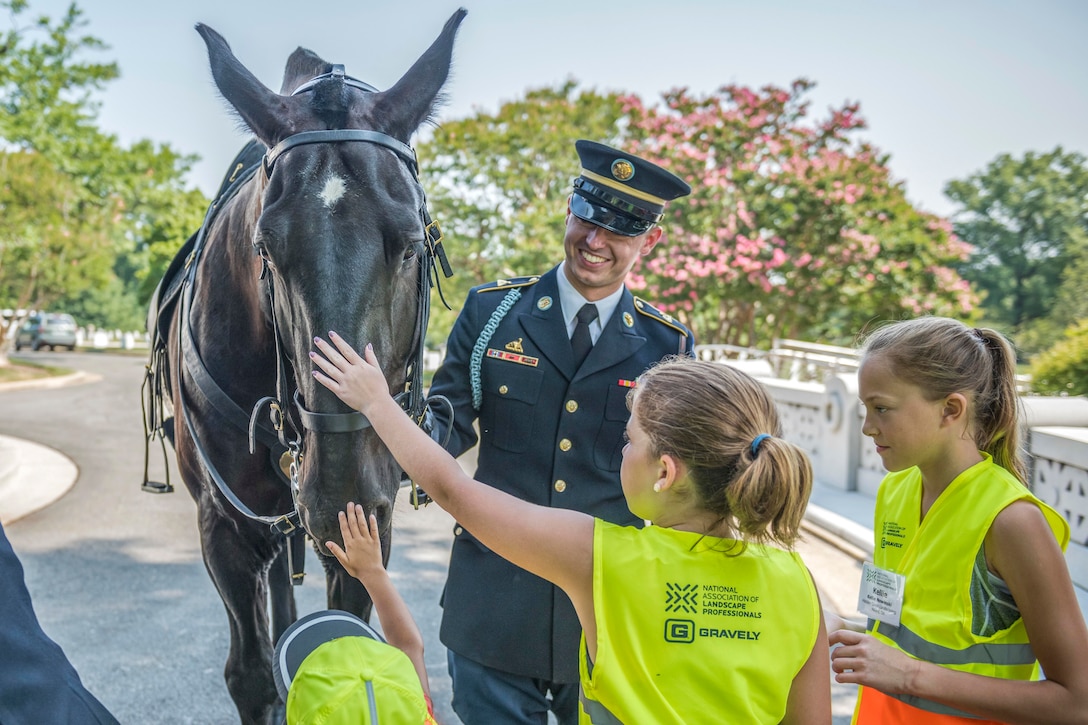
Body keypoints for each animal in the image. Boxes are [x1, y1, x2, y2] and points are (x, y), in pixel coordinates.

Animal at [143, 11, 463, 722]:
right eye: (266, 247)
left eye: (411, 243)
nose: (340, 489)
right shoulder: (224, 529)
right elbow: (253, 672)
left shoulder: (370, 526)